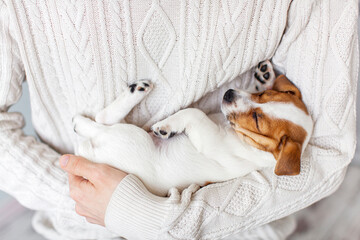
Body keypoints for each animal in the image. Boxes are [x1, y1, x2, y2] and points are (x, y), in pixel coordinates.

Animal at [72, 61, 312, 196]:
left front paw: (167, 126)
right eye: (263, 95)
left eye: (256, 120)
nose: (227, 93)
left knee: (99, 123)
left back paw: (81, 121)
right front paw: (264, 77)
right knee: (102, 119)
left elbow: (194, 113)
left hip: (133, 137)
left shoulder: (212, 142)